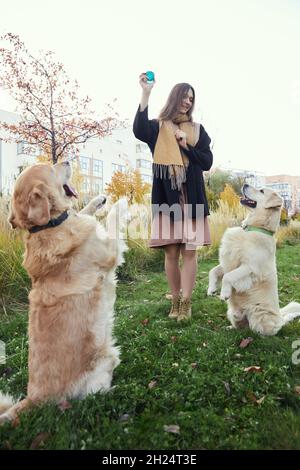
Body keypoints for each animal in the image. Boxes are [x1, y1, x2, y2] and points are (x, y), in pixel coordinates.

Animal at [0, 163, 127, 424]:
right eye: (50, 167)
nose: (66, 161)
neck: (49, 224)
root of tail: (33, 398)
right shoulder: (109, 250)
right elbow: (112, 219)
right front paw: (123, 202)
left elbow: (85, 212)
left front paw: (98, 200)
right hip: (103, 359)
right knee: (95, 393)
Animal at [207, 183, 300, 334]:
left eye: (261, 191)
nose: (245, 184)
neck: (253, 228)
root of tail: (280, 318)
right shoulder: (228, 262)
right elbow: (213, 271)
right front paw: (211, 289)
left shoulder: (249, 267)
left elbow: (228, 276)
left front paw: (224, 293)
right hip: (232, 313)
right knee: (241, 326)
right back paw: (230, 328)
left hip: (259, 317)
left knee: (264, 330)